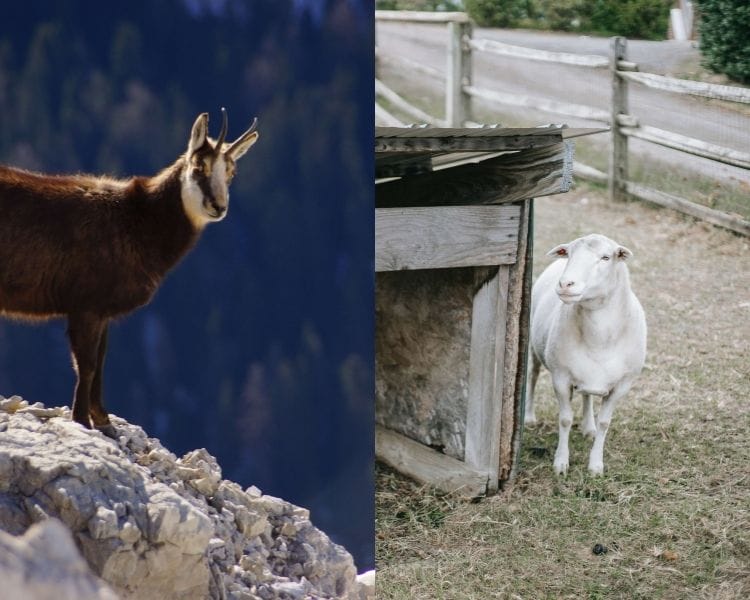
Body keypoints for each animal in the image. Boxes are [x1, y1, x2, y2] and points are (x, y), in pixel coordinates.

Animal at [0, 109, 259, 436]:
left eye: (231, 173)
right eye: (200, 166)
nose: (218, 206)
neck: (138, 220)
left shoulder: (102, 311)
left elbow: (100, 362)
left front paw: (104, 421)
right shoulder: (85, 305)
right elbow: (87, 364)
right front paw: (81, 420)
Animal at [525, 233, 647, 475]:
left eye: (606, 257)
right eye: (569, 254)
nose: (565, 284)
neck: (598, 340)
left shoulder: (622, 385)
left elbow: (604, 423)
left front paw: (596, 466)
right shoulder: (560, 377)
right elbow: (564, 419)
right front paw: (561, 463)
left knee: (587, 396)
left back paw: (588, 427)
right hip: (535, 346)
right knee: (532, 376)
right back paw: (529, 417)